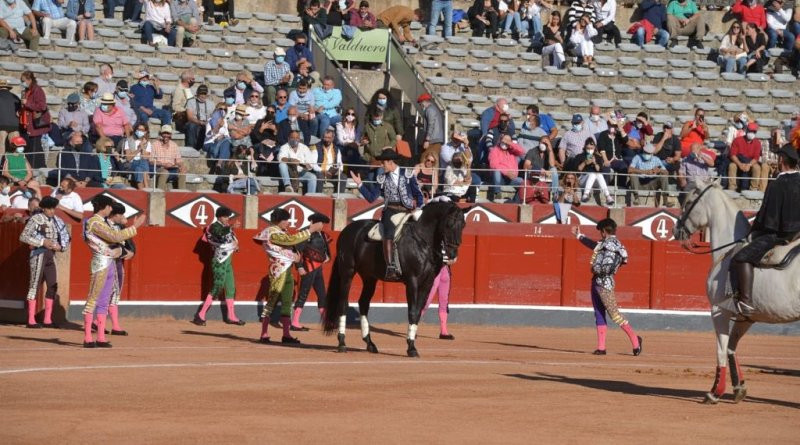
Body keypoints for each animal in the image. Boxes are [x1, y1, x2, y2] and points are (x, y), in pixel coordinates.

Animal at [320, 201, 468, 358]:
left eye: (464, 224)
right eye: (449, 223)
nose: (452, 254)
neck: (422, 241)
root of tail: (346, 230)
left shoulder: (427, 283)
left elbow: (418, 312)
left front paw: (412, 343)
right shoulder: (412, 281)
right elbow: (412, 311)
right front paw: (411, 348)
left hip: (369, 278)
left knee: (363, 303)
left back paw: (370, 344)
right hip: (347, 272)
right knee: (343, 303)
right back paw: (342, 343)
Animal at [676, 179, 800, 404]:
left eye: (688, 201)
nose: (676, 229)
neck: (727, 250)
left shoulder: (718, 311)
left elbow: (721, 349)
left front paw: (715, 392)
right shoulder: (746, 318)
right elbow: (732, 347)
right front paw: (738, 387)